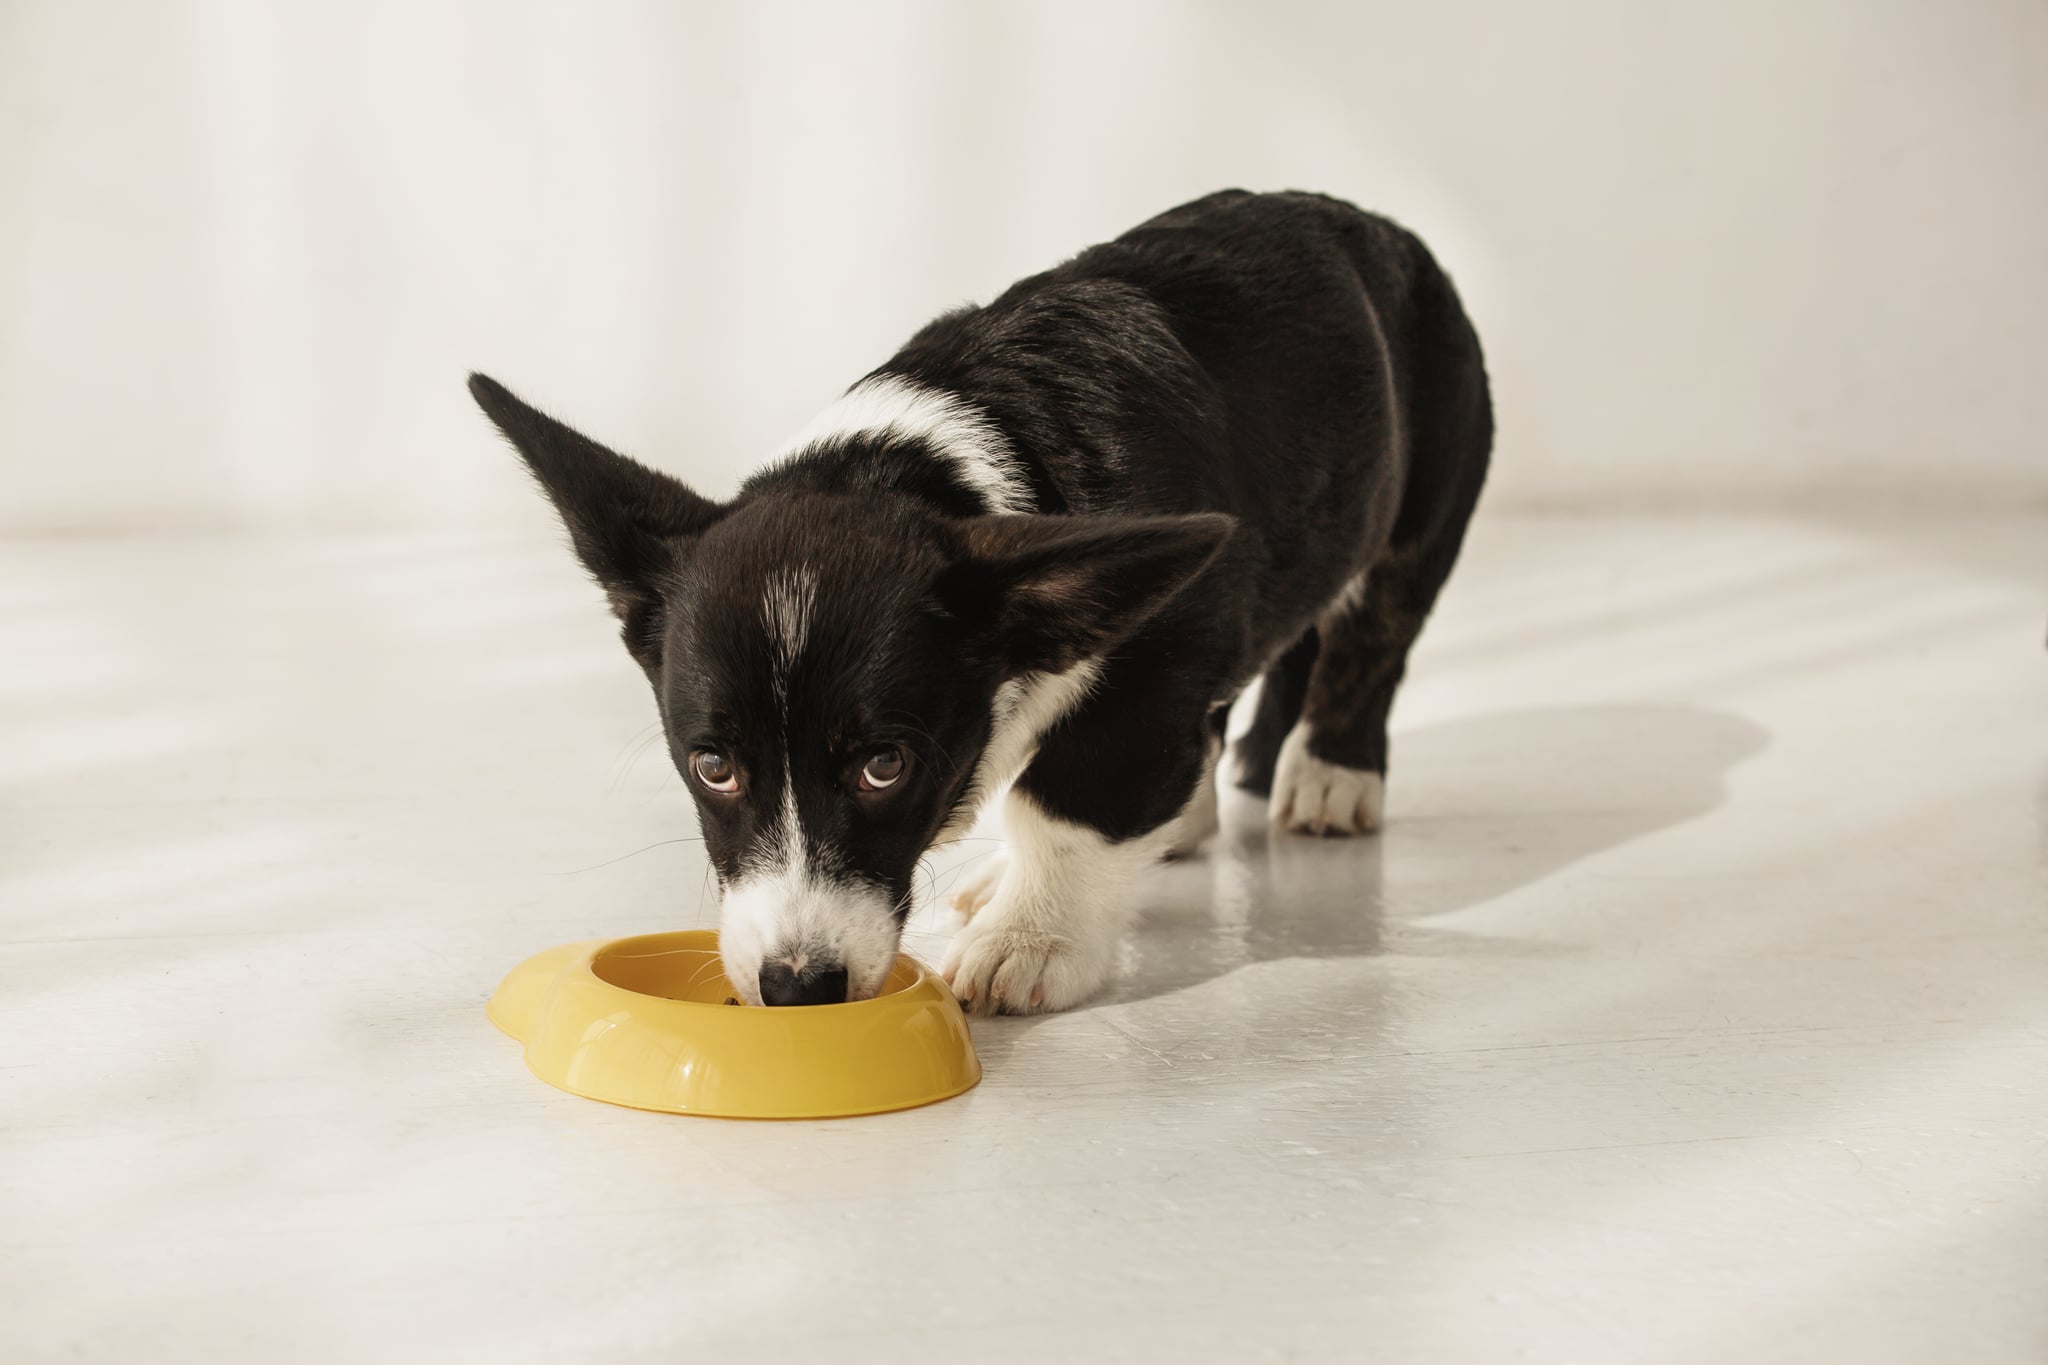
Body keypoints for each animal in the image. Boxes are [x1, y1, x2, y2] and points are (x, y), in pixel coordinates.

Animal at [473, 189, 1499, 1015]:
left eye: (884, 765)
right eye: (712, 766)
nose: (797, 987)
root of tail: (1371, 224)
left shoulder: (1153, 667)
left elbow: (1067, 804)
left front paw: (1030, 943)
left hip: (1420, 509)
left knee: (1372, 638)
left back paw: (1332, 779)